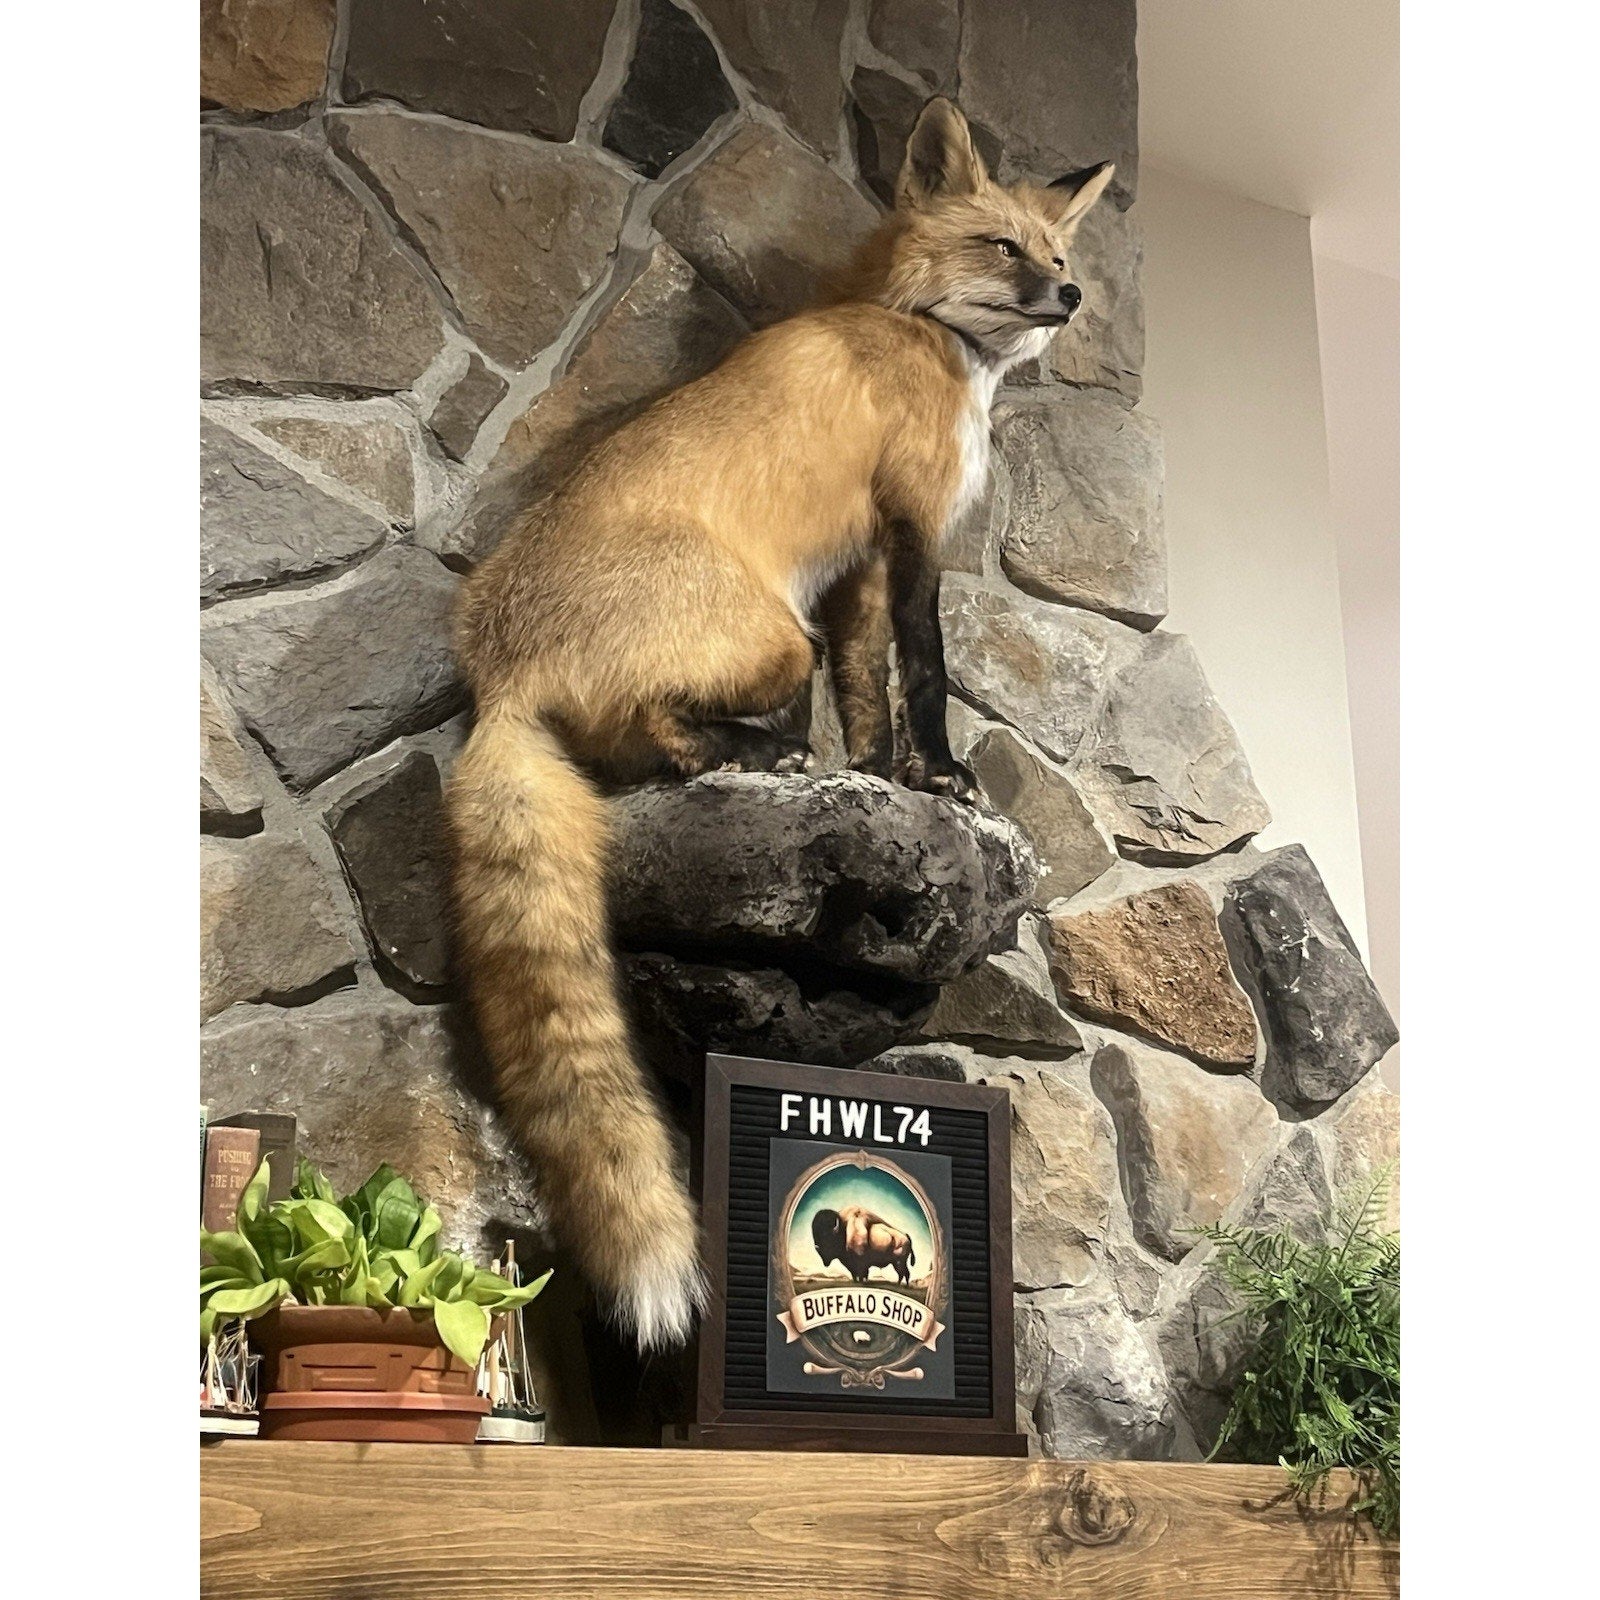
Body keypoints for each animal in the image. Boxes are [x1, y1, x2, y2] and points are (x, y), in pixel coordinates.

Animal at [447, 98, 1116, 1351]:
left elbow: (868, 686)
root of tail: (497, 666)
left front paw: (887, 776)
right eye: (1004, 247)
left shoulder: (854, 568)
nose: (1070, 297)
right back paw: (759, 752)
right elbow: (927, 665)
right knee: (662, 736)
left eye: (1058, 252)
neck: (915, 327)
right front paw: (942, 775)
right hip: (769, 635)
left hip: (780, 633)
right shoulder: (910, 523)